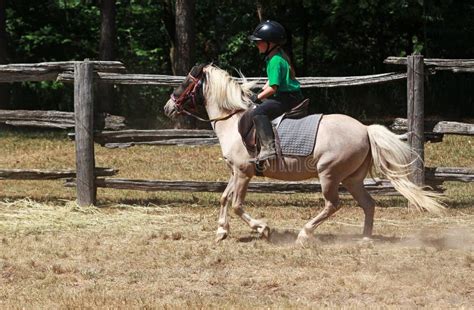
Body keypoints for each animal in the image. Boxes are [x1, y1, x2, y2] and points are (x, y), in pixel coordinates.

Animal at [164, 64, 444, 245]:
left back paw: (304, 234)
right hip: (352, 178)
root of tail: (365, 129)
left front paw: (263, 229)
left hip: (329, 174)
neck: (232, 122)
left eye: (185, 83)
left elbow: (236, 205)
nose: (167, 107)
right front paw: (221, 231)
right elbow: (224, 198)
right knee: (368, 204)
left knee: (333, 204)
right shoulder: (236, 171)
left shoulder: (244, 173)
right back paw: (365, 240)